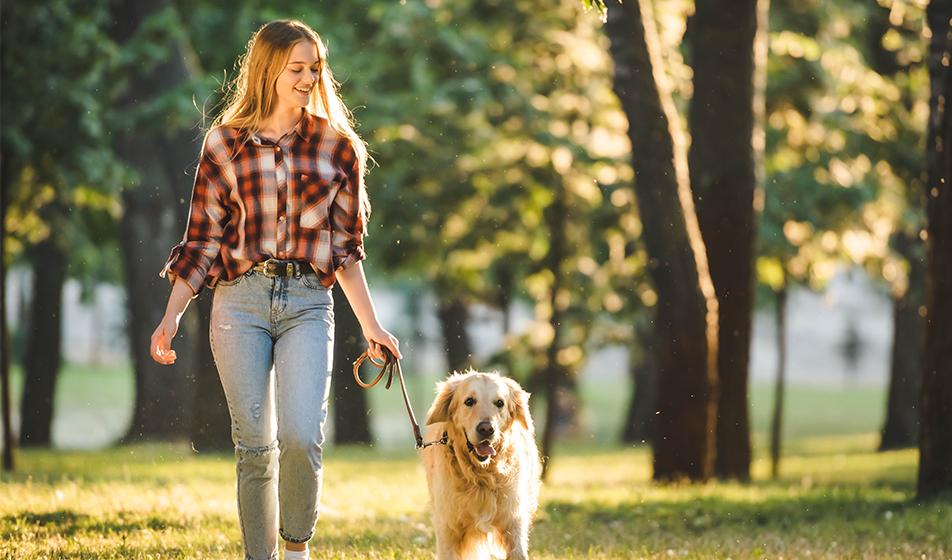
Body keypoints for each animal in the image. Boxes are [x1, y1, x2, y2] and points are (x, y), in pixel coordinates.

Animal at [420, 370, 540, 556]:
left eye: (499, 403)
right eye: (469, 401)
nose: (486, 429)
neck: (482, 476)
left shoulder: (514, 521)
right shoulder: (448, 528)